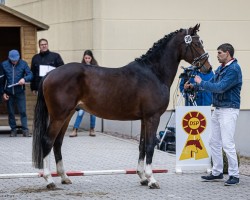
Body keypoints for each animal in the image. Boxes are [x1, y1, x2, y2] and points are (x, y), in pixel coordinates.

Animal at [32, 23, 212, 189]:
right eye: (196, 43)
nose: (208, 68)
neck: (154, 73)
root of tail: (49, 74)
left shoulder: (144, 119)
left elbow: (142, 145)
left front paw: (142, 177)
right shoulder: (152, 117)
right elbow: (149, 146)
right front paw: (152, 179)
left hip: (67, 115)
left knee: (57, 143)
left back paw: (64, 177)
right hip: (59, 116)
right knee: (48, 141)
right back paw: (49, 180)